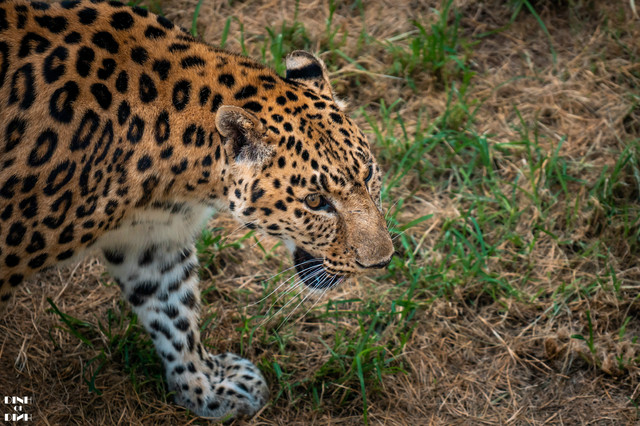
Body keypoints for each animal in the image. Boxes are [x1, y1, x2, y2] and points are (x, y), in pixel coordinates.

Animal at [0, 0, 394, 419]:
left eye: (369, 175)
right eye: (316, 202)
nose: (382, 261)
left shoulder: (152, 239)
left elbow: (173, 309)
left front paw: (206, 385)